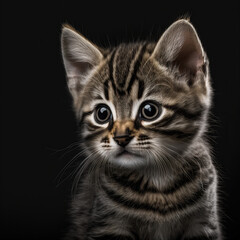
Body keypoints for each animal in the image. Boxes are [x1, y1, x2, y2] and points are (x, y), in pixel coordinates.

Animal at [61, 19, 222, 239]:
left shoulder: (203, 222)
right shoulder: (107, 222)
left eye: (149, 111)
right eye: (102, 113)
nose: (121, 137)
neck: (158, 185)